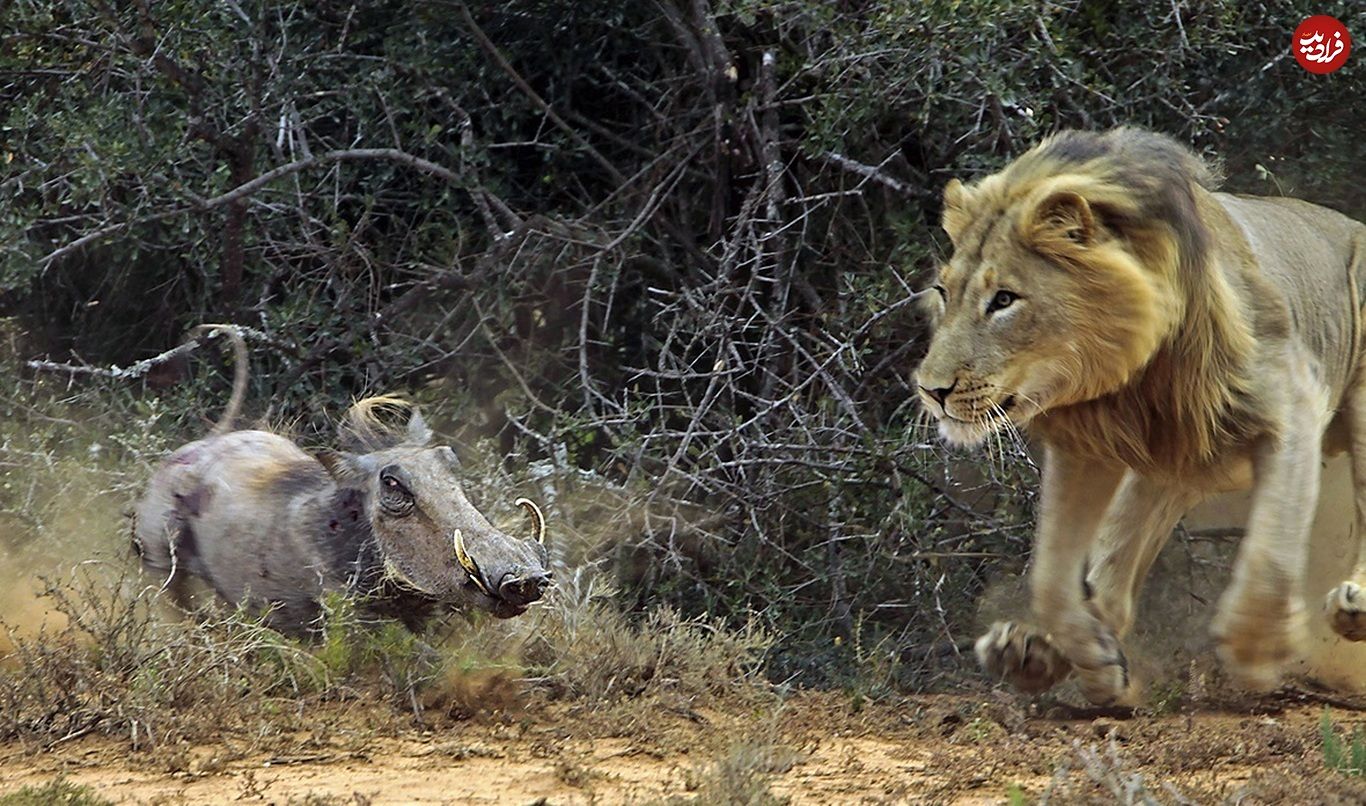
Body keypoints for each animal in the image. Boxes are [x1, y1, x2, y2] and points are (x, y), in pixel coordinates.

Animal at [912, 126, 1366, 710]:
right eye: (943, 292)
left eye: (1005, 299)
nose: (931, 390)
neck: (1129, 378)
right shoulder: (1085, 446)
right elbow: (1051, 576)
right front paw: (1099, 664)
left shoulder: (1291, 401)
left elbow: (1270, 553)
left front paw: (1256, 652)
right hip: (1174, 464)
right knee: (1113, 562)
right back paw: (1032, 653)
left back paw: (1354, 607)